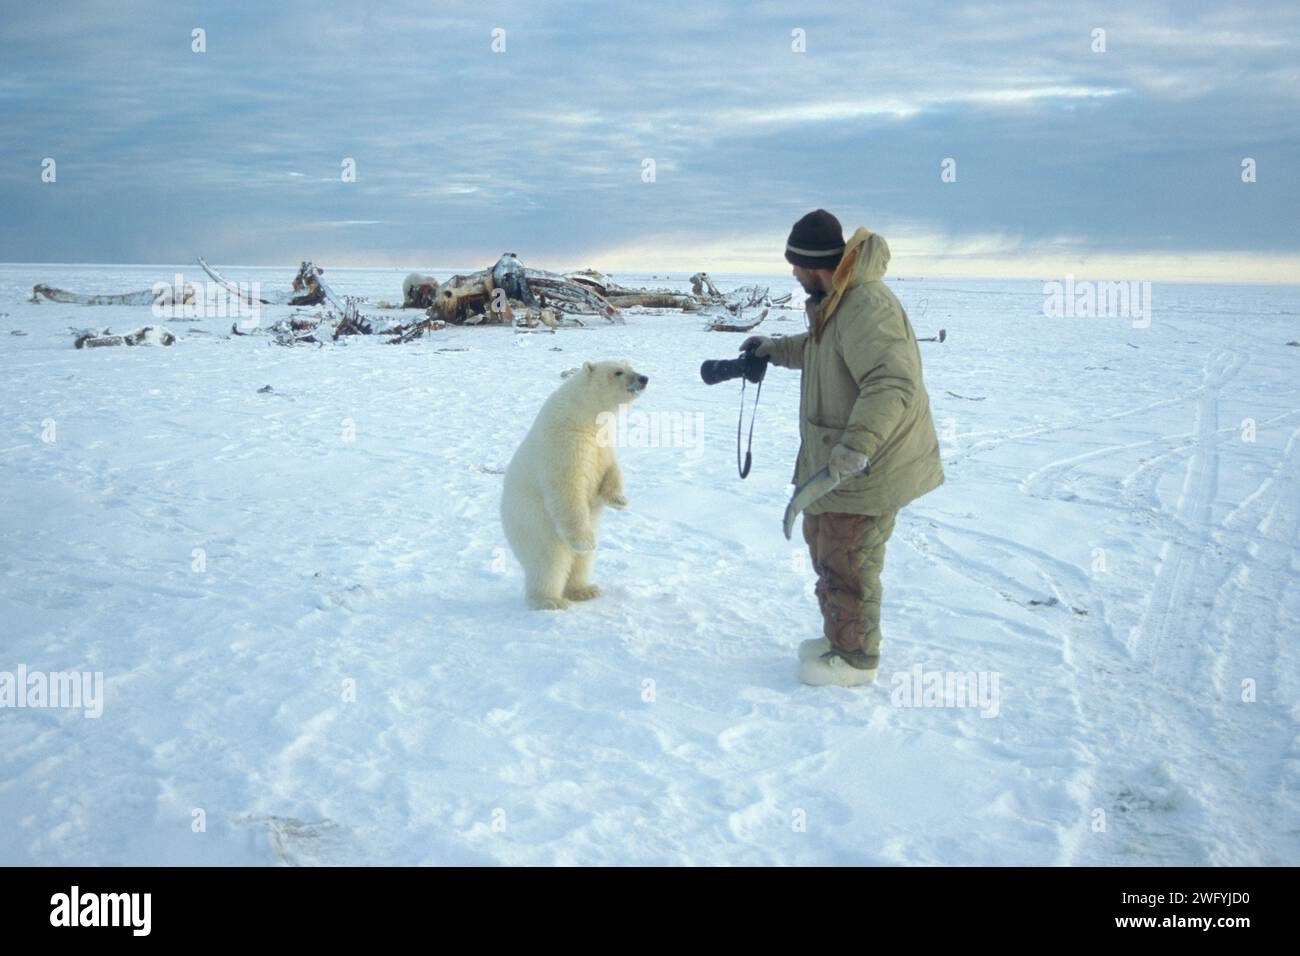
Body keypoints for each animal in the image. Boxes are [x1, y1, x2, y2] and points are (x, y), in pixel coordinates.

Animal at [504, 361, 650, 608]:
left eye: (631, 366)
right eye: (618, 372)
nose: (644, 378)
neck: (581, 413)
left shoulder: (603, 439)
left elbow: (610, 469)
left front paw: (620, 500)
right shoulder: (565, 444)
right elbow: (568, 490)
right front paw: (585, 542)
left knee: (582, 563)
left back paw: (585, 590)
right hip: (535, 525)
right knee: (549, 561)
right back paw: (550, 600)